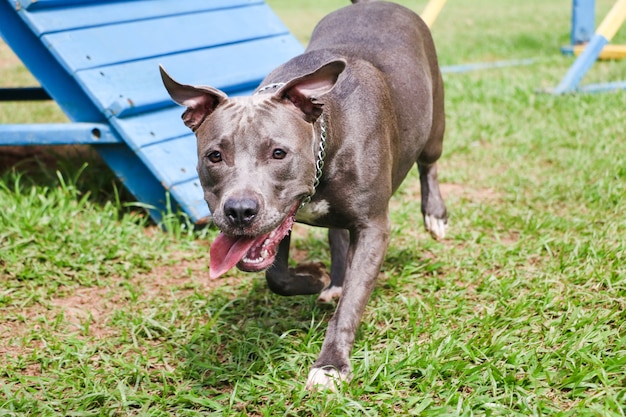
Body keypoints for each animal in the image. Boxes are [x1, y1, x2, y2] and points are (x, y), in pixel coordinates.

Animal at [158, 0, 446, 390]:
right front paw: (313, 280)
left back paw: (435, 214)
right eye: (214, 156)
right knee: (338, 236)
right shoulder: (282, 220)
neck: (326, 134)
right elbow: (276, 277)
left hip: (434, 122)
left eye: (279, 153)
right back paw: (334, 282)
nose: (239, 211)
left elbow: (353, 301)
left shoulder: (373, 227)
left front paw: (331, 364)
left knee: (429, 165)